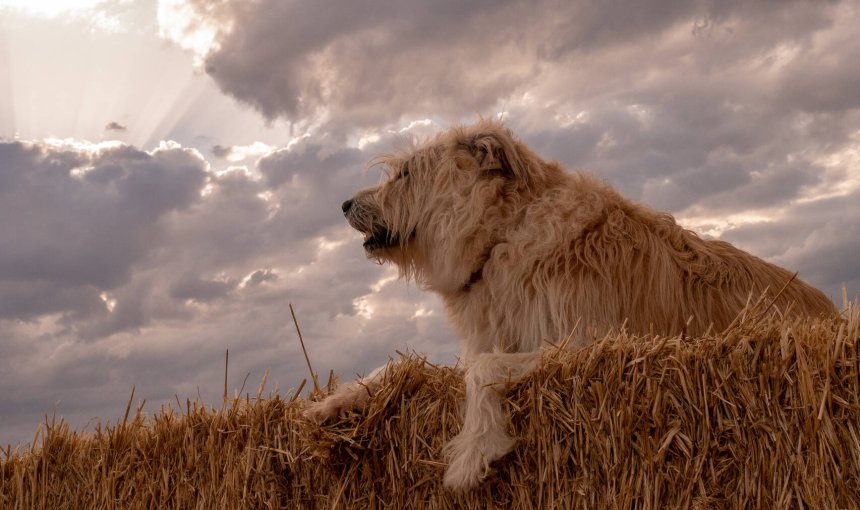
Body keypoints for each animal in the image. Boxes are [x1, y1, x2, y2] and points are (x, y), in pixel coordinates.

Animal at [306, 119, 836, 490]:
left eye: (407, 172)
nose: (344, 205)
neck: (503, 234)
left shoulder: (589, 345)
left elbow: (483, 370)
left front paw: (473, 453)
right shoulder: (501, 336)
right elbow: (409, 367)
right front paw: (334, 401)